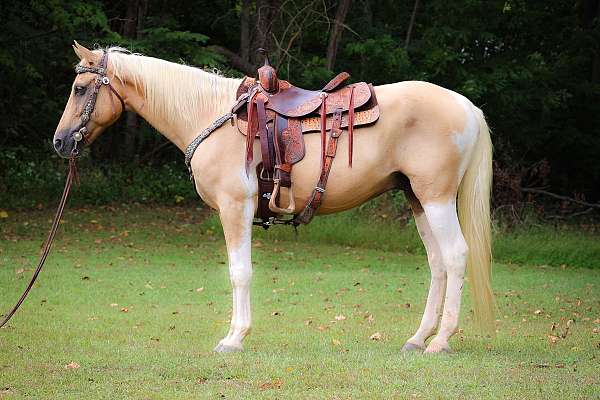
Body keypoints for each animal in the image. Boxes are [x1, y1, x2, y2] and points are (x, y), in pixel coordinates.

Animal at [54, 43, 494, 354]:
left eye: (79, 89)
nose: (60, 142)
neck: (213, 117)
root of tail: (467, 106)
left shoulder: (235, 208)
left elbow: (240, 272)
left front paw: (234, 338)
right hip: (418, 199)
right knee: (437, 264)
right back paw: (418, 339)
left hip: (435, 198)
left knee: (455, 256)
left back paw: (440, 342)